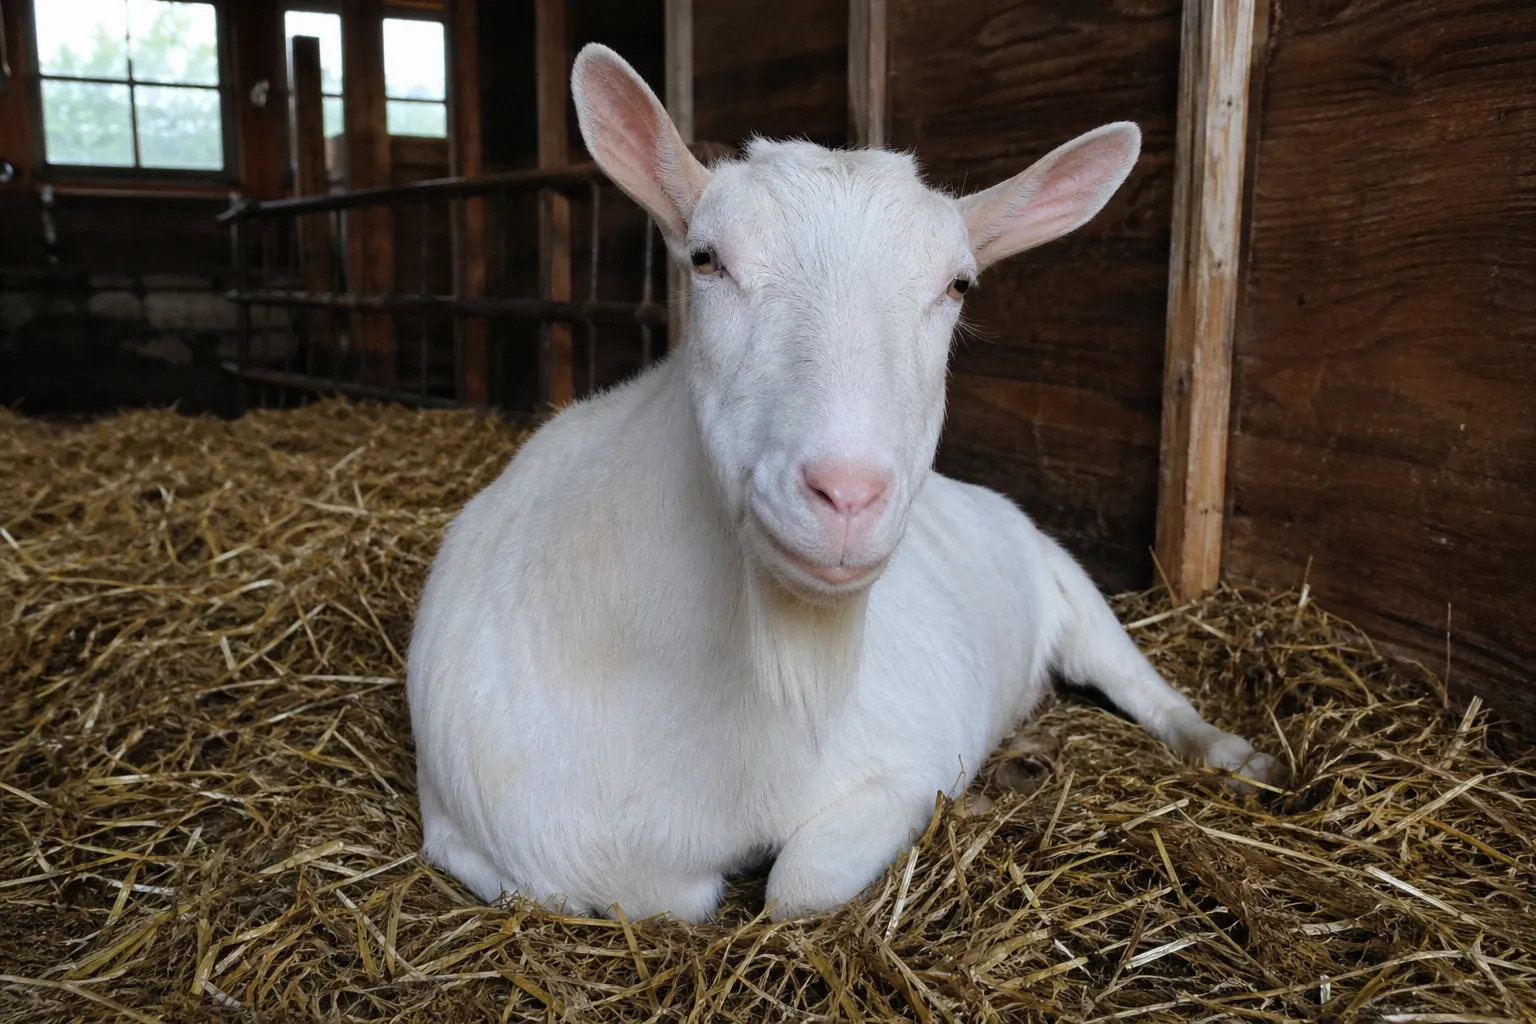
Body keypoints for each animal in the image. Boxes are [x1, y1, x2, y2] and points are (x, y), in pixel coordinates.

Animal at [405, 43, 1284, 923]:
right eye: (706, 259)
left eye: (959, 285)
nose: (848, 496)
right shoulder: (475, 832)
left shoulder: (912, 755)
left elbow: (799, 884)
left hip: (1069, 584)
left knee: (1141, 683)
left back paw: (1234, 756)